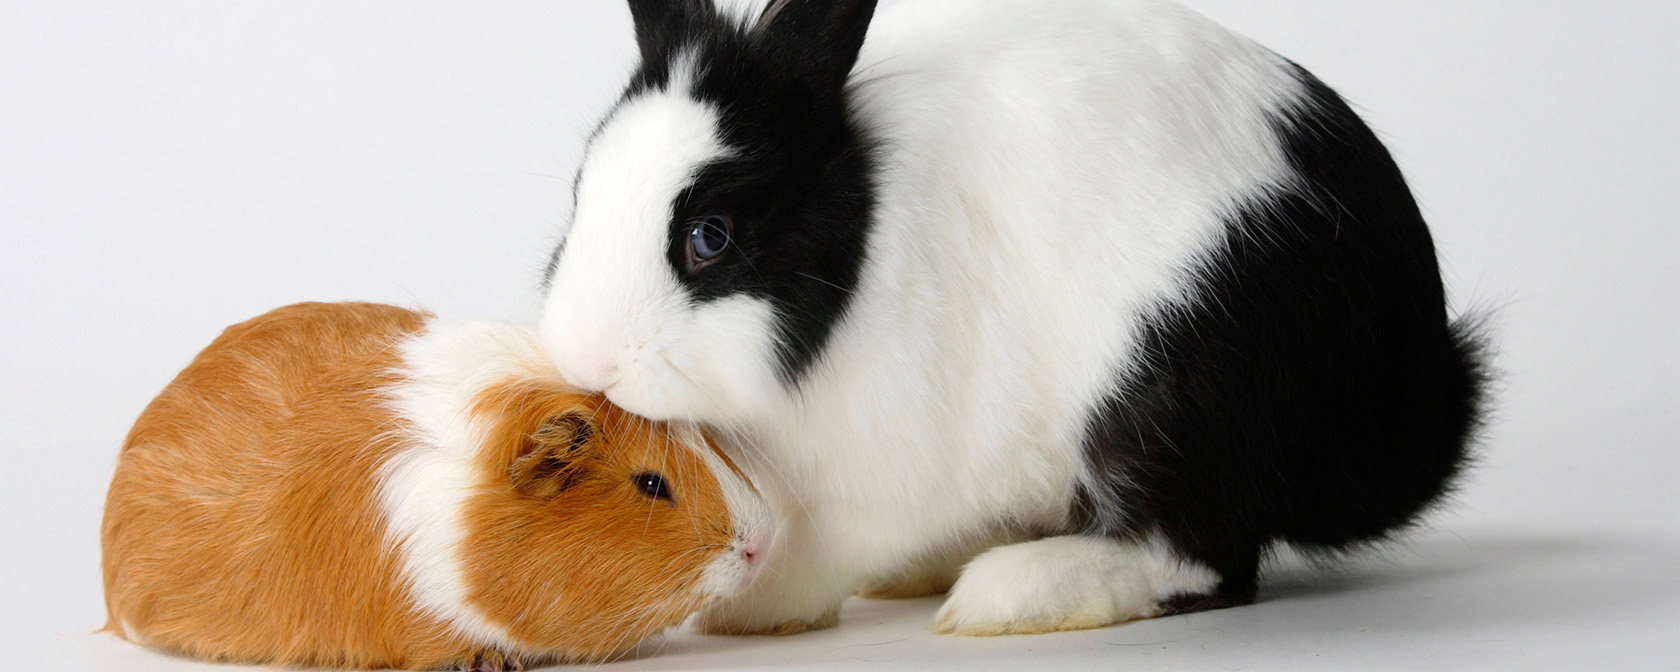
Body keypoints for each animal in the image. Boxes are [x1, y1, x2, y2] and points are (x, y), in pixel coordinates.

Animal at [537, 0, 1485, 635]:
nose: (588, 360)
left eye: (710, 237)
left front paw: (749, 610)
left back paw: (1004, 597)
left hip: (1185, 397)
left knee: (1198, 555)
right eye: (580, 195)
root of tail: (1412, 404)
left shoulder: (879, 471)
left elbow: (822, 547)